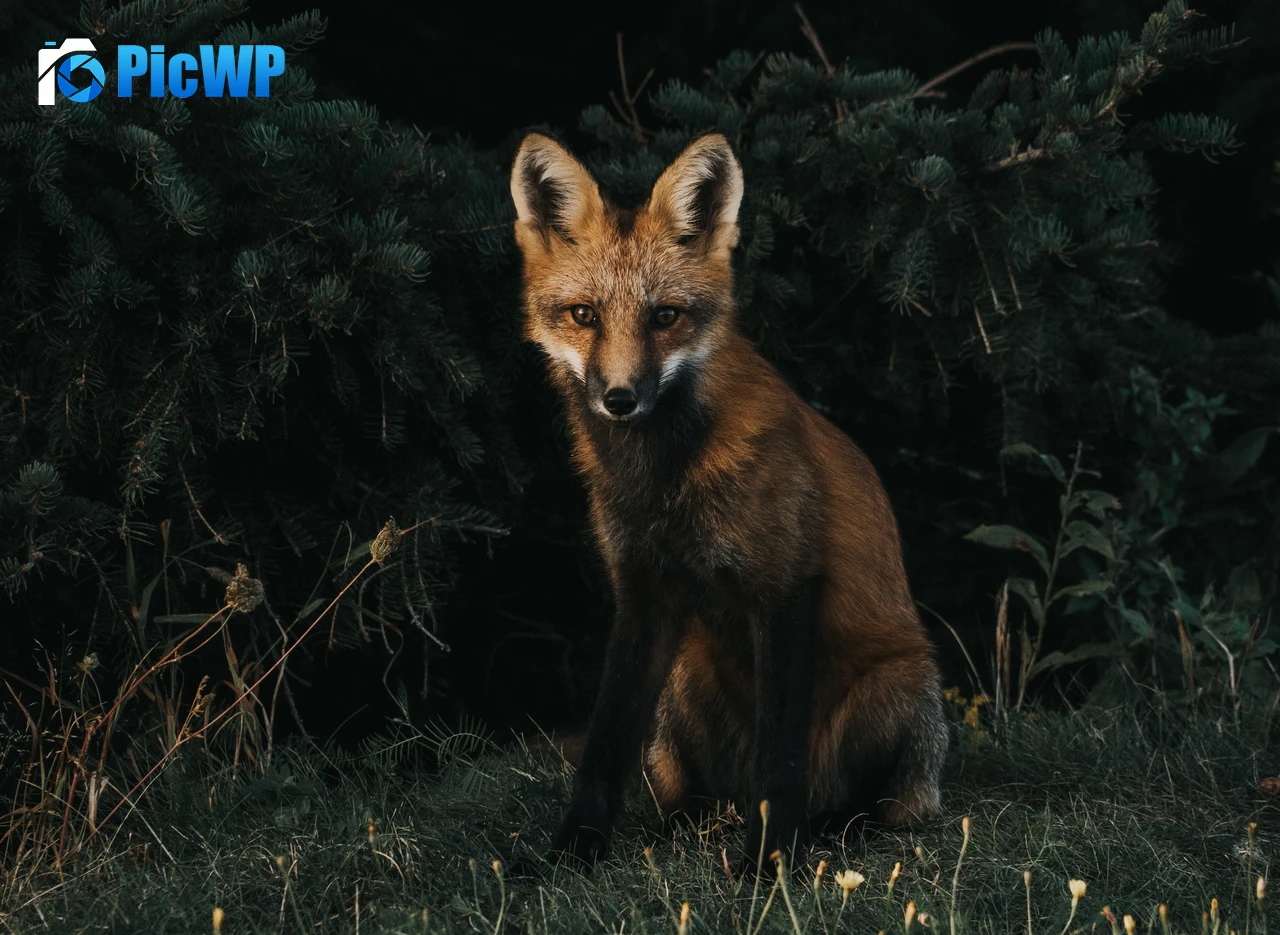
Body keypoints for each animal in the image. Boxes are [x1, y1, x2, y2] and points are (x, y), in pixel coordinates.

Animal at [509, 131, 948, 869]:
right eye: (583, 315)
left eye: (665, 316)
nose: (620, 399)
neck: (664, 482)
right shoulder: (642, 590)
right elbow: (604, 745)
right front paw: (573, 850)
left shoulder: (785, 584)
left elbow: (780, 757)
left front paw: (770, 864)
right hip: (684, 681)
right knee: (694, 794)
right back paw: (684, 824)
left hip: (899, 690)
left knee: (873, 806)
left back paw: (827, 830)